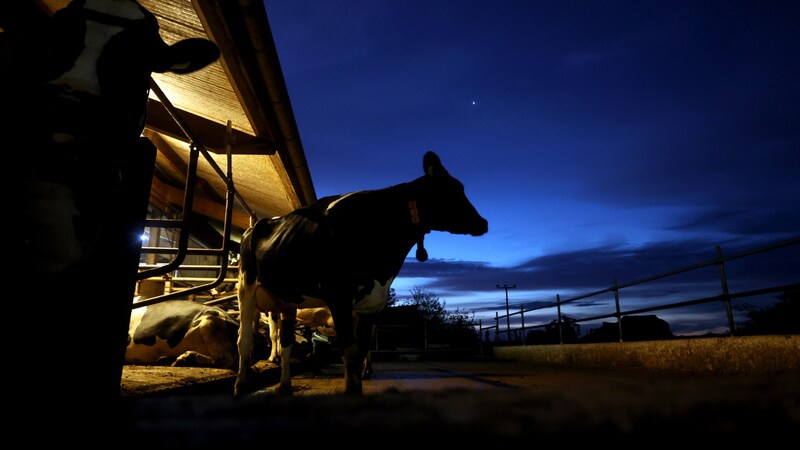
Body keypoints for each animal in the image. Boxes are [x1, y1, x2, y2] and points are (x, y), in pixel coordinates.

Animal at [236, 152, 488, 398]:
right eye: (453, 189)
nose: (483, 223)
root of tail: (257, 225)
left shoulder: (373, 303)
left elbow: (361, 349)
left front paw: (358, 386)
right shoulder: (339, 296)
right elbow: (349, 349)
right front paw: (351, 391)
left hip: (288, 300)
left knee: (286, 341)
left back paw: (286, 385)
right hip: (246, 287)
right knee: (244, 339)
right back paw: (240, 384)